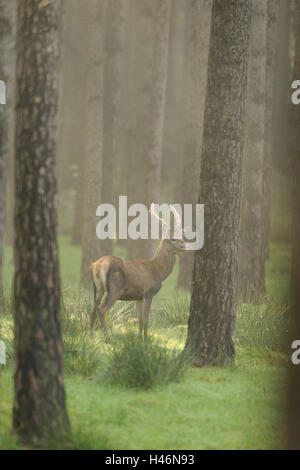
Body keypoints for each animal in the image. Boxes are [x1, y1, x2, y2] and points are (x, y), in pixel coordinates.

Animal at [90, 202, 191, 342]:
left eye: (182, 237)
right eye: (172, 239)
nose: (188, 247)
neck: (158, 271)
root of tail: (97, 265)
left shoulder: (138, 297)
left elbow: (140, 319)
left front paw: (139, 338)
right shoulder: (149, 292)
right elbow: (146, 318)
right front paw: (146, 339)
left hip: (98, 288)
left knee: (93, 309)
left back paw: (90, 335)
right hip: (115, 288)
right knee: (101, 309)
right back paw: (108, 339)